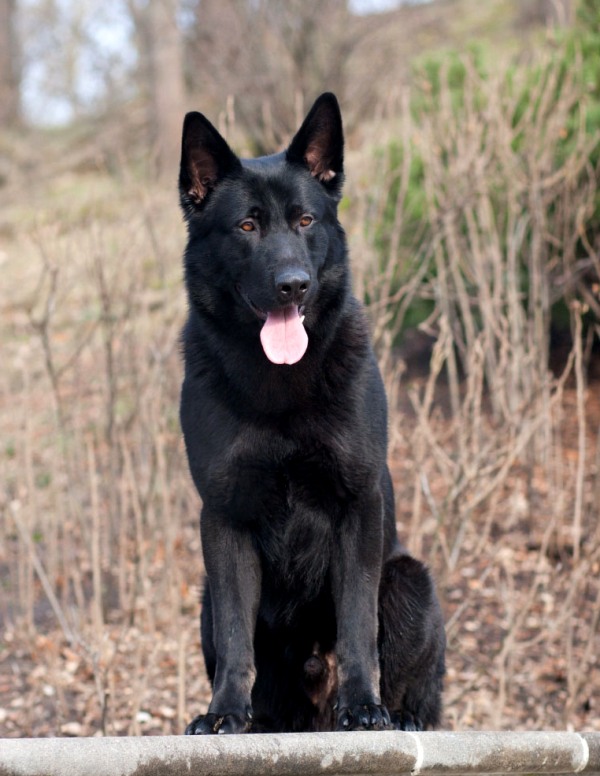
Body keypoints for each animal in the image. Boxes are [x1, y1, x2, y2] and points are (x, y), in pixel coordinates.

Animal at [178, 93, 445, 734]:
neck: (280, 384)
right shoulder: (223, 519)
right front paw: (224, 713)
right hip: (204, 601)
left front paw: (363, 705)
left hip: (410, 583)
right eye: (247, 226)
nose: (293, 286)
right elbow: (236, 637)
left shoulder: (357, 504)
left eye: (305, 221)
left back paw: (399, 717)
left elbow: (356, 624)